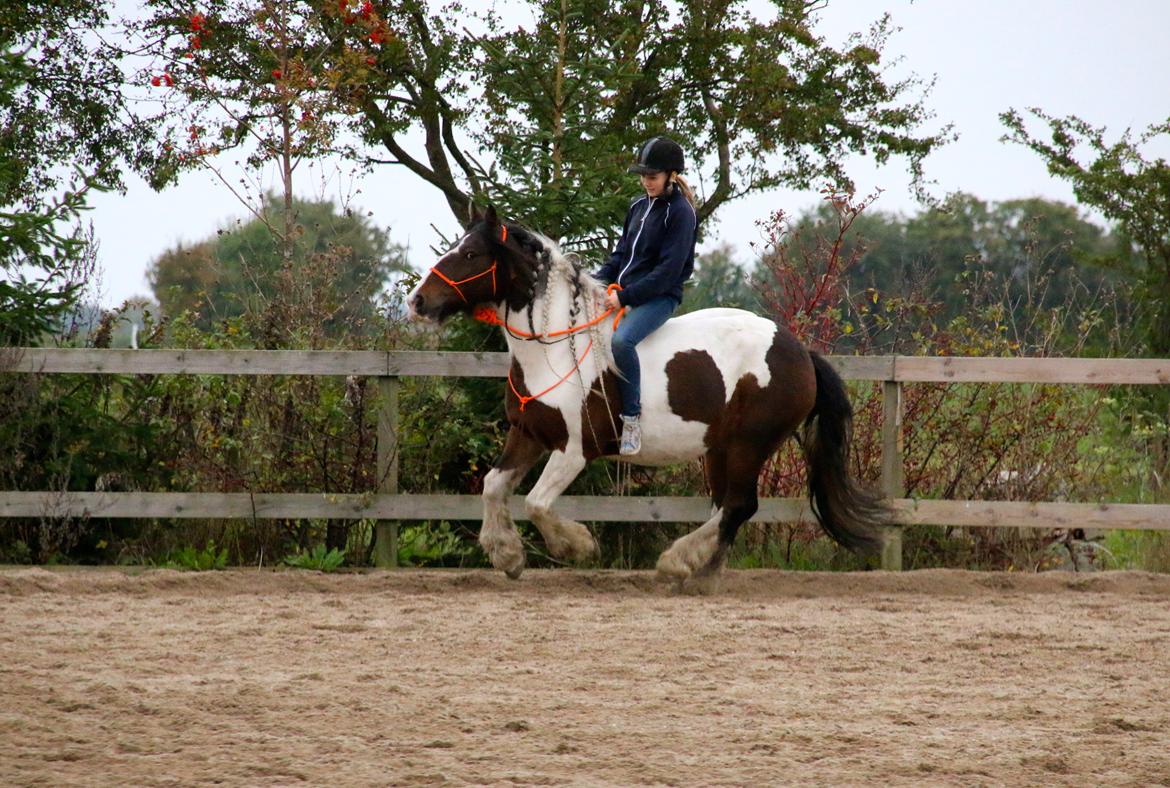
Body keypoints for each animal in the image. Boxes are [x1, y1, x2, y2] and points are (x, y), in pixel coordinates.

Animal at [407, 205, 879, 586]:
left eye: (471, 254)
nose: (417, 301)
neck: (554, 350)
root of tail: (800, 352)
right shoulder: (527, 434)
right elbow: (492, 487)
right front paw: (507, 556)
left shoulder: (573, 451)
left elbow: (538, 504)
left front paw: (577, 546)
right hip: (720, 449)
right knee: (727, 507)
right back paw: (701, 572)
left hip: (750, 444)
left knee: (739, 505)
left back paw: (679, 563)